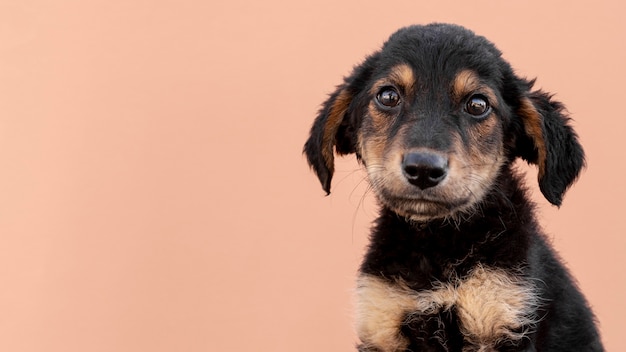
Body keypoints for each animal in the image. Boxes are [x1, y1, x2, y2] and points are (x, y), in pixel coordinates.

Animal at [304, 23, 604, 350]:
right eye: (388, 96)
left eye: (477, 104)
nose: (423, 169)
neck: (436, 245)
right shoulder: (383, 321)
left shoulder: (504, 311)